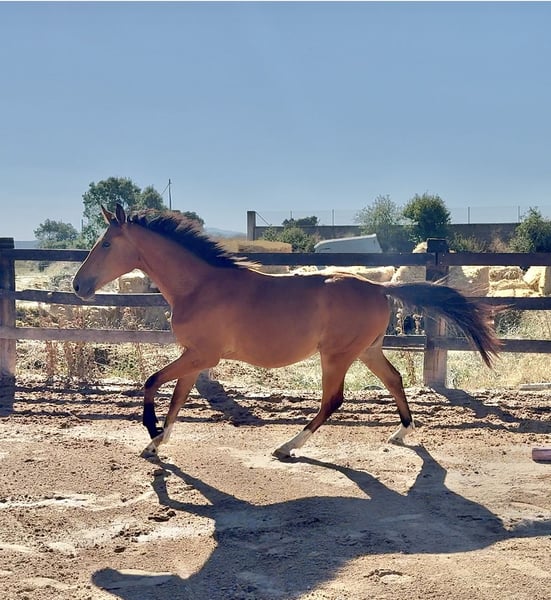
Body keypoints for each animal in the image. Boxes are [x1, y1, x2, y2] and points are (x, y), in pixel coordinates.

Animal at [73, 204, 501, 459]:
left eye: (106, 243)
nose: (78, 285)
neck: (200, 285)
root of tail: (379, 288)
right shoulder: (193, 357)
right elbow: (176, 398)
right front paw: (156, 443)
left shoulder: (201, 355)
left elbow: (151, 383)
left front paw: (150, 431)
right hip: (367, 350)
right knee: (394, 379)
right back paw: (401, 434)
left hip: (337, 356)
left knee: (333, 400)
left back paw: (287, 446)